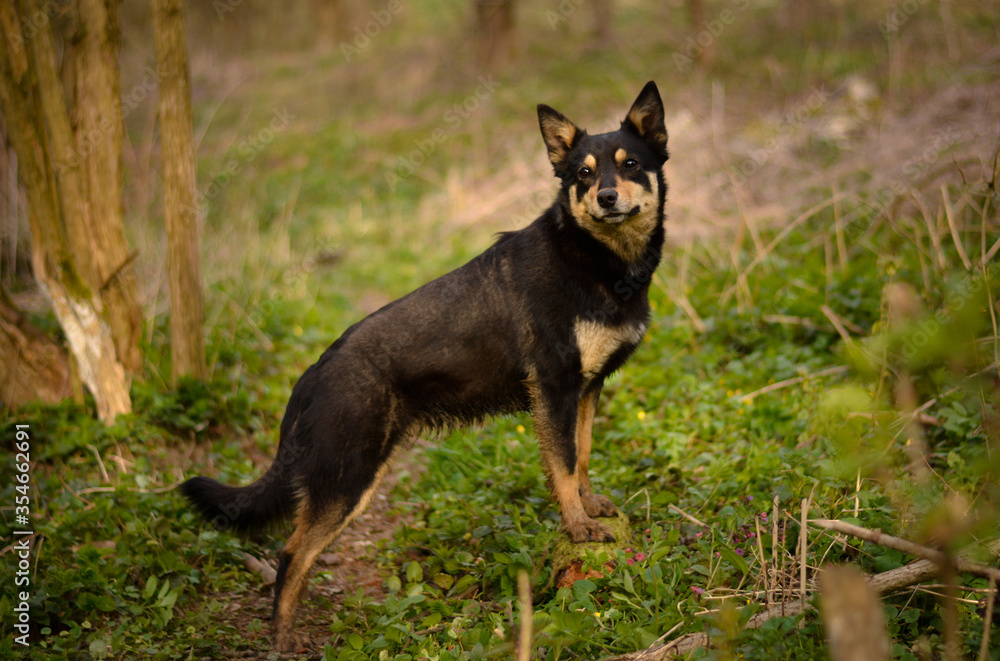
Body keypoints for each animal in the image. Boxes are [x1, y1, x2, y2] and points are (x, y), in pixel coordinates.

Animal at [184, 81, 668, 648]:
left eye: (630, 164)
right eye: (583, 175)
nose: (606, 198)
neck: (595, 259)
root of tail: (315, 372)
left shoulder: (587, 388)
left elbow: (583, 456)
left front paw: (590, 509)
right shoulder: (554, 389)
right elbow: (564, 466)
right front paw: (578, 526)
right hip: (348, 476)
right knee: (291, 552)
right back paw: (282, 638)